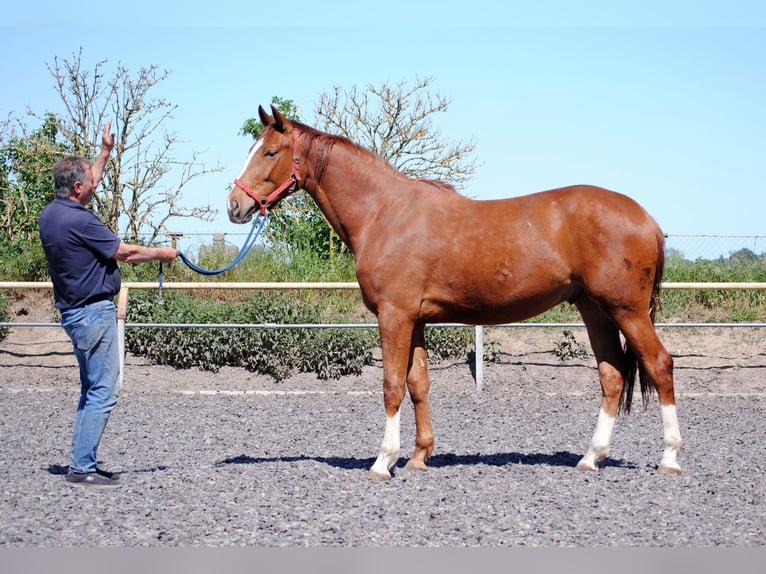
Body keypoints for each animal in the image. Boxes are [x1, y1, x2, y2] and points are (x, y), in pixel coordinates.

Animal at [228, 104, 684, 482]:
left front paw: (382, 461)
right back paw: (591, 457)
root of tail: (646, 217)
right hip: (595, 310)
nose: (235, 205)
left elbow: (391, 385)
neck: (384, 213)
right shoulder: (415, 319)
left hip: (627, 310)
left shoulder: (394, 315)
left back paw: (669, 458)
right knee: (613, 375)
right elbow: (417, 384)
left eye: (270, 152)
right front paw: (417, 457)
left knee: (660, 365)